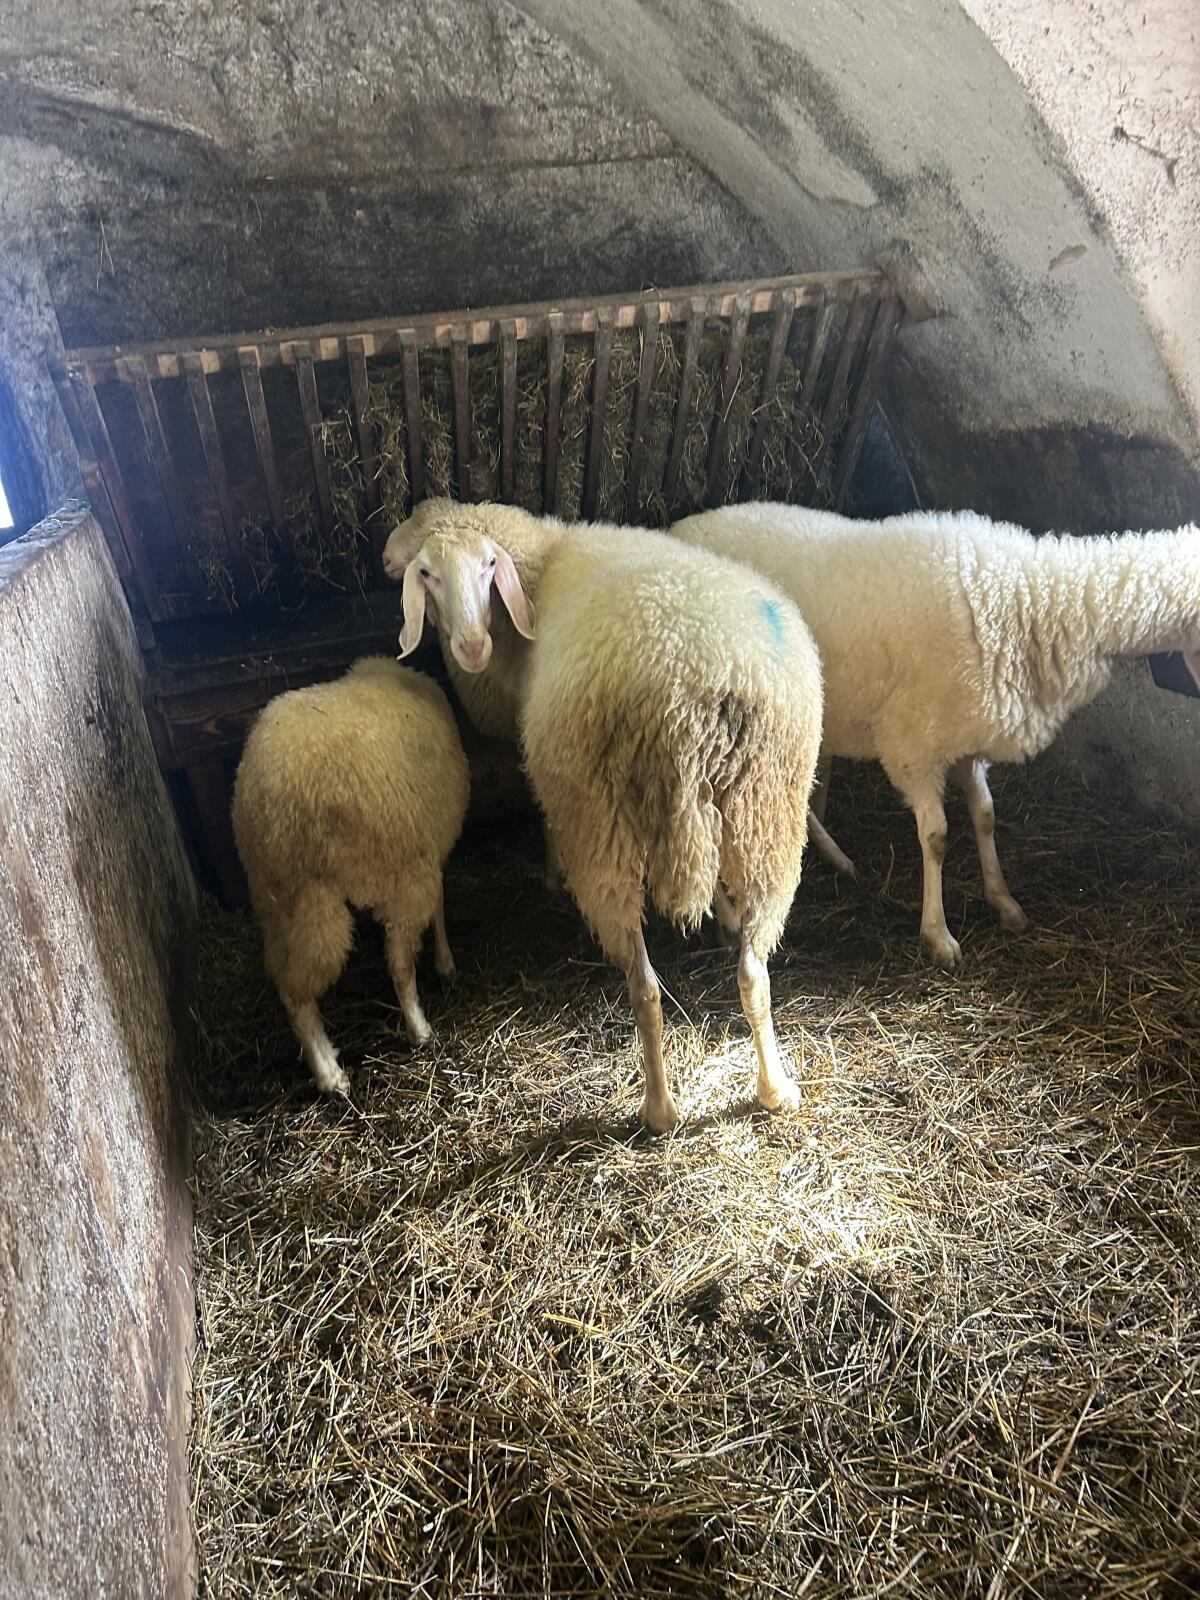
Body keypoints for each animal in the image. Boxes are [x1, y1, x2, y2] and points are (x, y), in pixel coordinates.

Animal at [231, 656, 469, 1094]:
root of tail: (267, 798)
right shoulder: (424, 860)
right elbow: (439, 908)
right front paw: (445, 963)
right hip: (338, 893)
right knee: (353, 978)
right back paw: (344, 1065)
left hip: (277, 897)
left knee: (279, 971)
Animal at [383, 500, 823, 1132]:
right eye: (428, 573)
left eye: (489, 565)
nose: (470, 647)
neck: (545, 559)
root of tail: (690, 692)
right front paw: (724, 912)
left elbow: (543, 815)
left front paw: (550, 873)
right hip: (769, 812)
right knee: (753, 972)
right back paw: (774, 1089)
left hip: (601, 826)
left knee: (644, 989)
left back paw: (659, 1110)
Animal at [670, 503, 1200, 968]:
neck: (1030, 601)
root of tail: (678, 528)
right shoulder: (913, 744)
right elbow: (938, 837)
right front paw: (938, 934)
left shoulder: (965, 736)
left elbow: (985, 815)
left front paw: (1003, 900)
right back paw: (730, 922)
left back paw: (835, 858)